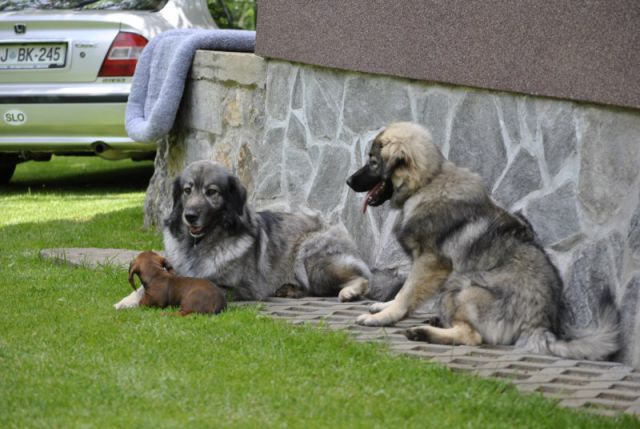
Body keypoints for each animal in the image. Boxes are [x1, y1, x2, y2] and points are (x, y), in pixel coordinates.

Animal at [112, 160, 398, 308]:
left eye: (212, 192)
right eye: (187, 190)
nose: (190, 216)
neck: (200, 244)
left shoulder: (231, 285)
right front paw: (124, 301)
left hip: (312, 259)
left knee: (362, 279)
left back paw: (349, 291)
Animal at [344, 122, 620, 360]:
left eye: (373, 162)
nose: (348, 181)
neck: (428, 182)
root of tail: (541, 325)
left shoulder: (430, 262)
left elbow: (407, 292)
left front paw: (384, 316)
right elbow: (406, 291)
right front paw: (384, 306)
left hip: (463, 288)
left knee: (472, 336)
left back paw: (423, 332)